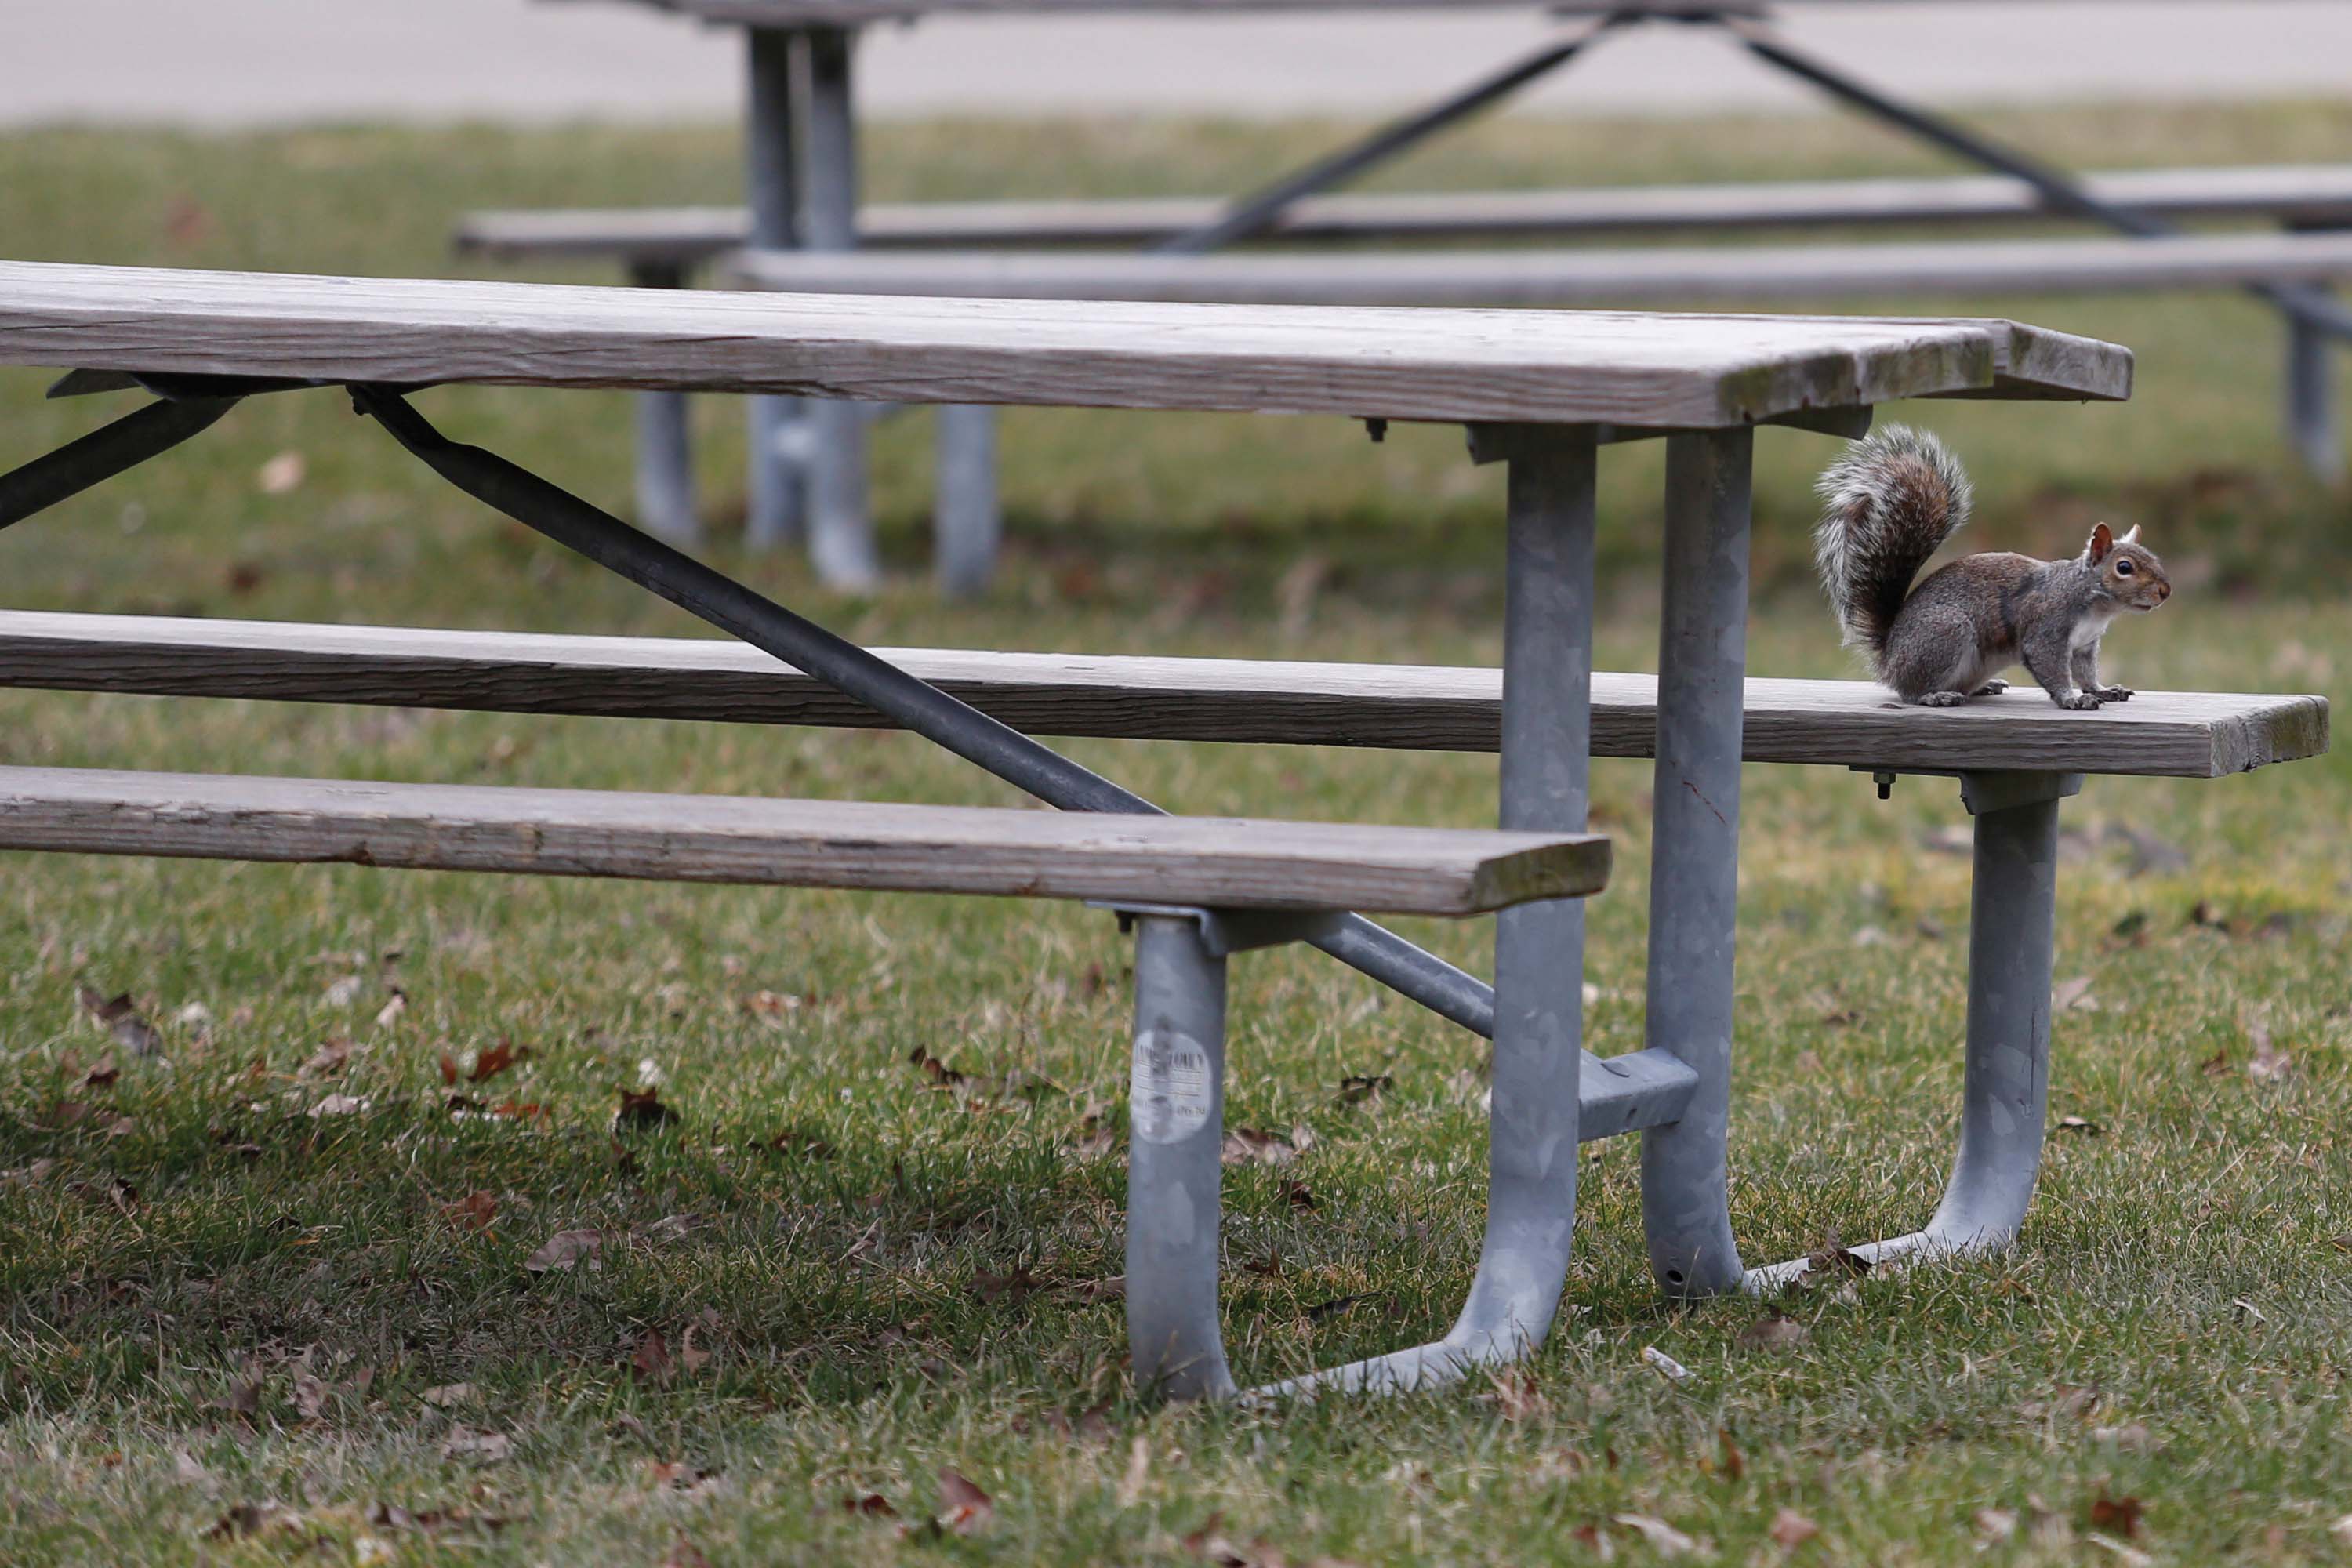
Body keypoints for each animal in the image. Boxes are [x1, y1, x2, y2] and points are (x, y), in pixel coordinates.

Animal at [1816, 420, 2164, 710]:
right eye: (2124, 568)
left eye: (2154, 557)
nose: (2165, 591)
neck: (2094, 605)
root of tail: (1889, 657)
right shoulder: (2046, 629)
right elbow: (2052, 668)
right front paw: (2072, 699)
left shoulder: (2084, 645)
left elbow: (2087, 674)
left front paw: (2103, 690)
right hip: (1945, 633)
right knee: (1910, 691)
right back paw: (1936, 695)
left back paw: (1984, 686)